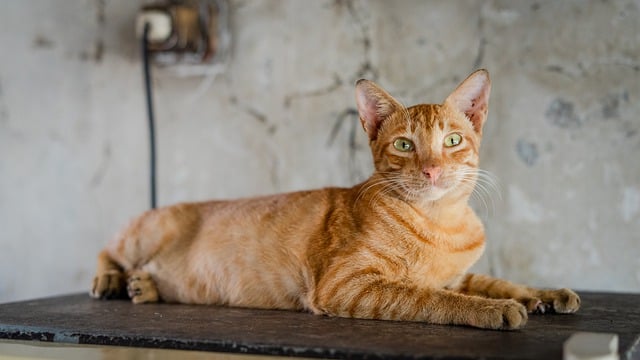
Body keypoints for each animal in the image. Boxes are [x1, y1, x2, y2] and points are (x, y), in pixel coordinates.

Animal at [91, 69, 580, 330]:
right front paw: (496, 311)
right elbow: (432, 298)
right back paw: (113, 280)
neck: (442, 222)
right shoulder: (347, 284)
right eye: (405, 145)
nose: (432, 169)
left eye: (453, 140)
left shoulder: (458, 276)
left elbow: (496, 281)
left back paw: (144, 285)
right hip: (142, 233)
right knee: (107, 247)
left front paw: (543, 294)